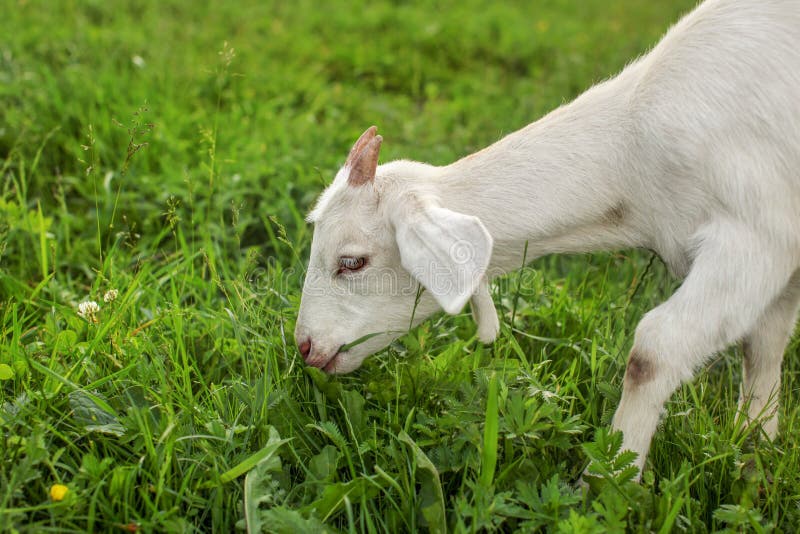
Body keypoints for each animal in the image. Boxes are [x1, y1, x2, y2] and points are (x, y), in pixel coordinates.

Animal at [295, 0, 800, 477]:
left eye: (352, 261)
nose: (305, 347)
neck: (632, 154)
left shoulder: (754, 237)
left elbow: (653, 351)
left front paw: (607, 482)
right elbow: (763, 347)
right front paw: (755, 453)